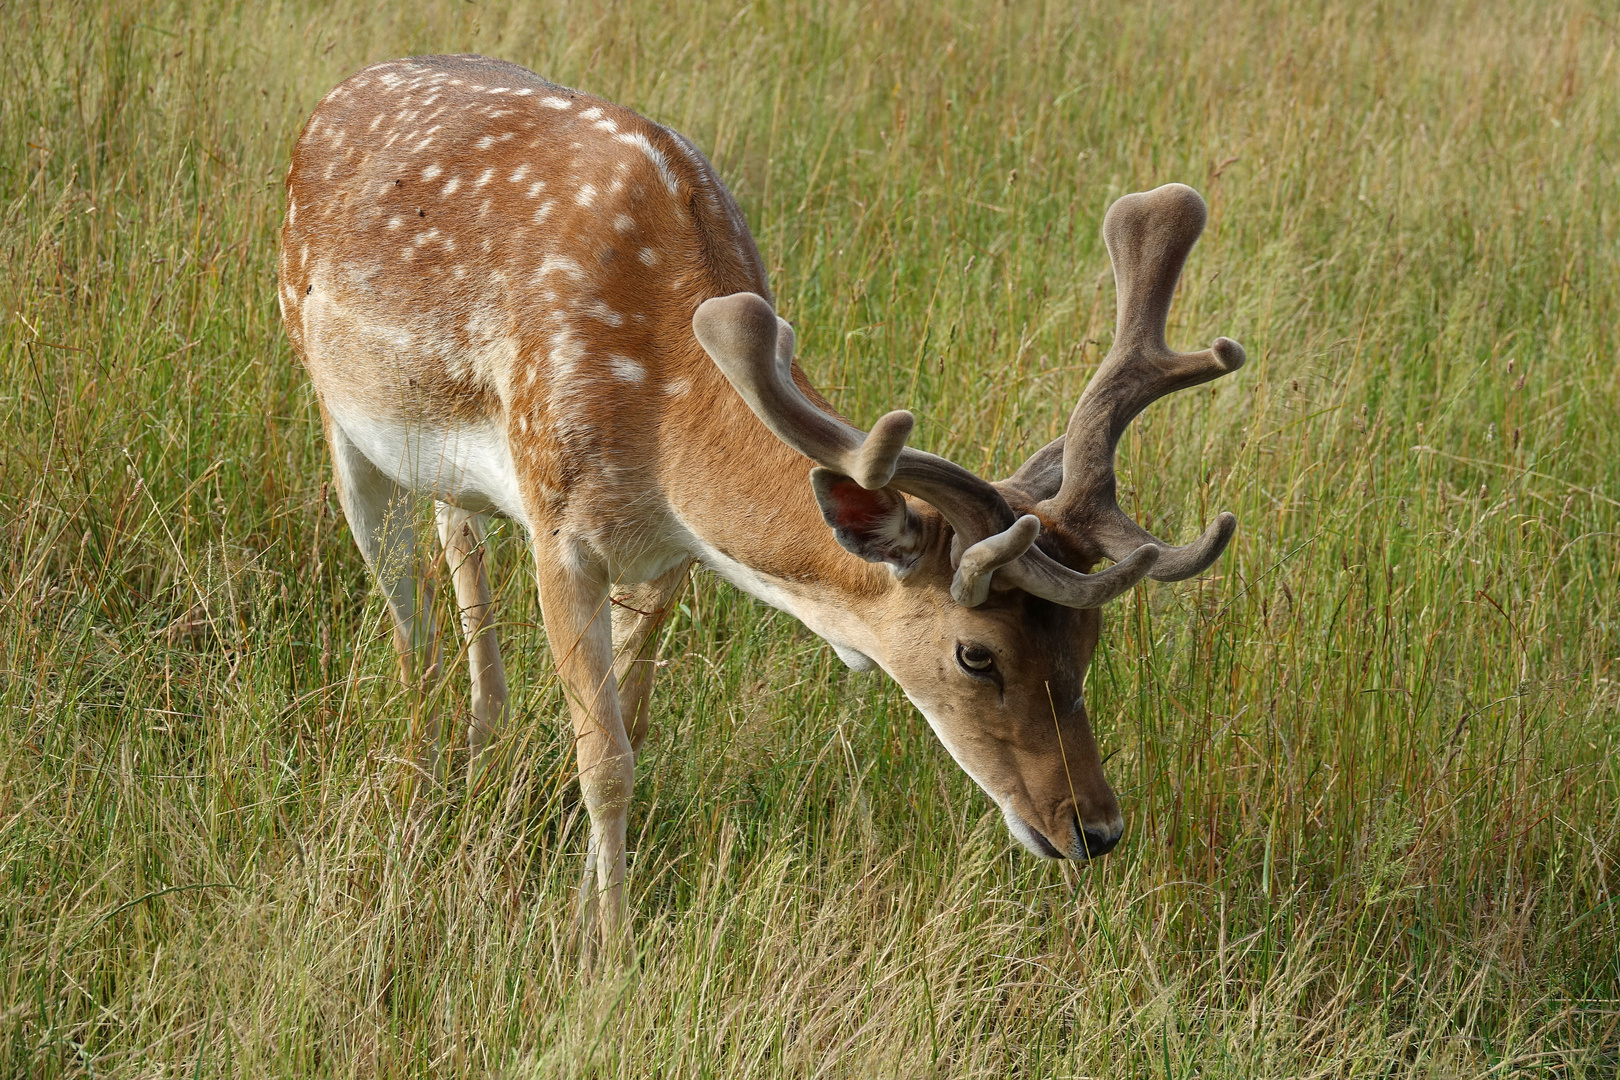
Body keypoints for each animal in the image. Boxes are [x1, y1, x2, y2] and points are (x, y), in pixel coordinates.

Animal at [281, 55, 1237, 958]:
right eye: (976, 654)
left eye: (1089, 636)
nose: (1096, 829)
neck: (668, 426)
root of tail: (333, 98)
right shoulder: (561, 522)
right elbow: (606, 759)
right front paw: (609, 952)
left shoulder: (668, 555)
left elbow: (631, 725)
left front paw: (588, 914)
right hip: (341, 421)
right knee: (411, 631)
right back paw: (417, 803)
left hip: (451, 469)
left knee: (461, 545)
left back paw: (480, 756)